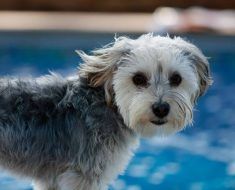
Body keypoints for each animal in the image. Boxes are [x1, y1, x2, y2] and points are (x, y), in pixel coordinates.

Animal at [0, 33, 213, 189]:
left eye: (176, 78)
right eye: (138, 78)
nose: (161, 108)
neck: (110, 107)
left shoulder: (53, 181)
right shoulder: (82, 178)